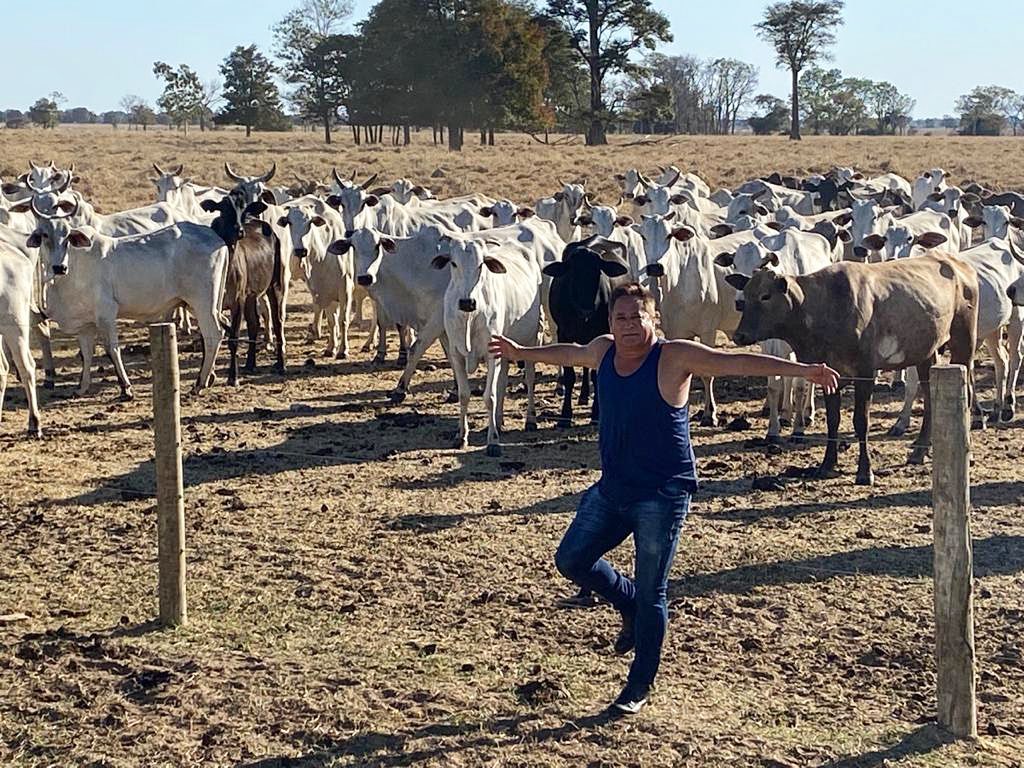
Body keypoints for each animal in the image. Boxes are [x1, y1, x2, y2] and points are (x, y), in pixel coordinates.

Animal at [729, 257, 974, 487]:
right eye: (745, 296)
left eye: (766, 296)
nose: (739, 335)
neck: (821, 307)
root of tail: (957, 263)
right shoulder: (829, 375)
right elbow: (833, 420)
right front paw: (827, 465)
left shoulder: (865, 372)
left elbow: (860, 421)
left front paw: (865, 472)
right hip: (926, 354)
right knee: (931, 399)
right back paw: (919, 451)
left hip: (963, 343)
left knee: (968, 394)